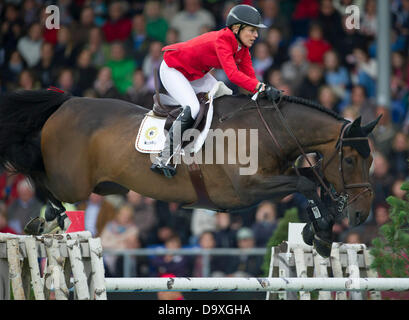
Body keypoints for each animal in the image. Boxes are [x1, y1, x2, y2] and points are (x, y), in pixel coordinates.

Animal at [0, 89, 378, 256]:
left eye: (371, 161)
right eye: (349, 161)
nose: (362, 214)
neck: (269, 130)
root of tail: (65, 102)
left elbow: (312, 181)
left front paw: (319, 229)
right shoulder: (248, 189)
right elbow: (305, 184)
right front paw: (323, 232)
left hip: (108, 188)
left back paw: (45, 219)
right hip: (74, 182)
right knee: (36, 173)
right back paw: (46, 218)